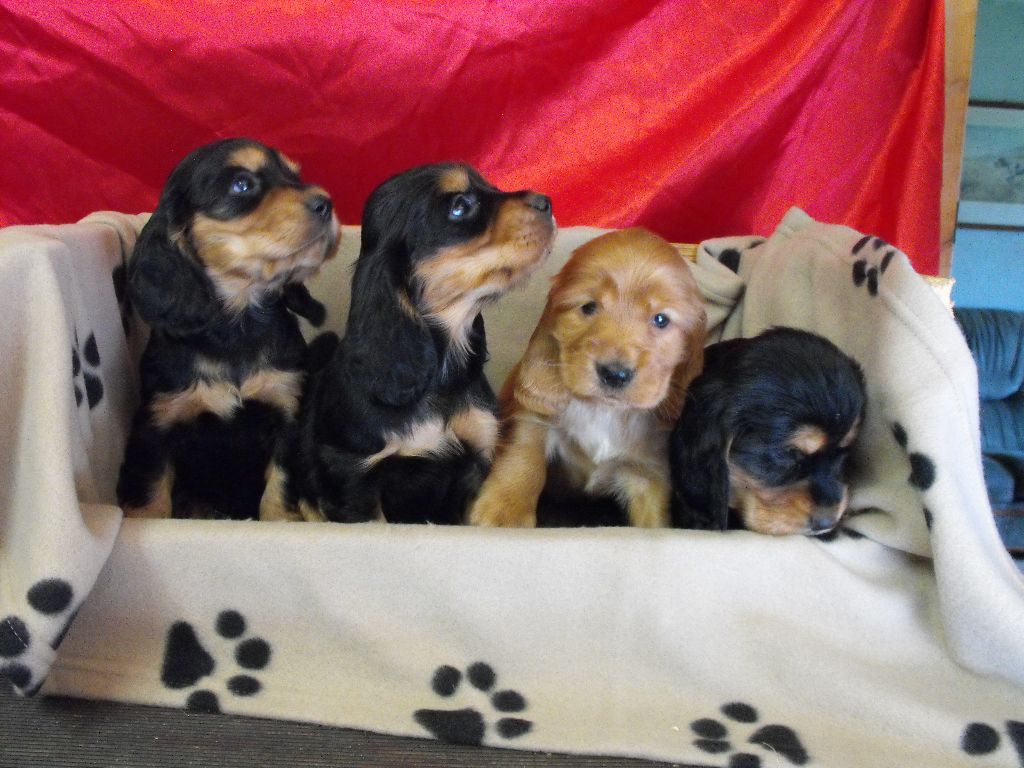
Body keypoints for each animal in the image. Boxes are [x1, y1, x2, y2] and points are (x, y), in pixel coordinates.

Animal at [117, 138, 340, 519]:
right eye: (242, 185)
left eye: (295, 177)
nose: (326, 203)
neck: (238, 325)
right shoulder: (157, 423)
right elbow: (152, 489)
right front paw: (148, 517)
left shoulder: (286, 413)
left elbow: (281, 483)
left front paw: (281, 520)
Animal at [260, 162, 556, 524]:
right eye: (459, 207)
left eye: (492, 187)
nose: (546, 203)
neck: (438, 377)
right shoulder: (354, 475)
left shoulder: (476, 459)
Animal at [468, 227, 707, 528]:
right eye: (589, 307)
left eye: (661, 319)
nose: (614, 373)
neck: (603, 410)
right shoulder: (533, 422)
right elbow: (523, 460)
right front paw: (504, 513)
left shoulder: (647, 471)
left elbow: (654, 519)